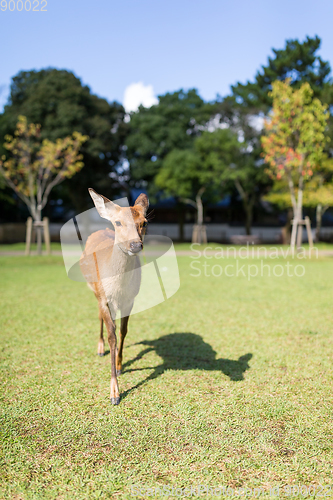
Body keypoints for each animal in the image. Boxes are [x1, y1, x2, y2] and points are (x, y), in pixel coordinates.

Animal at [80, 189, 148, 404]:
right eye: (118, 222)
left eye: (144, 222)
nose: (135, 245)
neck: (118, 287)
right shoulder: (103, 297)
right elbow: (112, 335)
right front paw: (114, 393)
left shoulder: (130, 299)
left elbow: (124, 331)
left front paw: (119, 367)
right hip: (94, 290)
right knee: (100, 317)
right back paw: (100, 348)